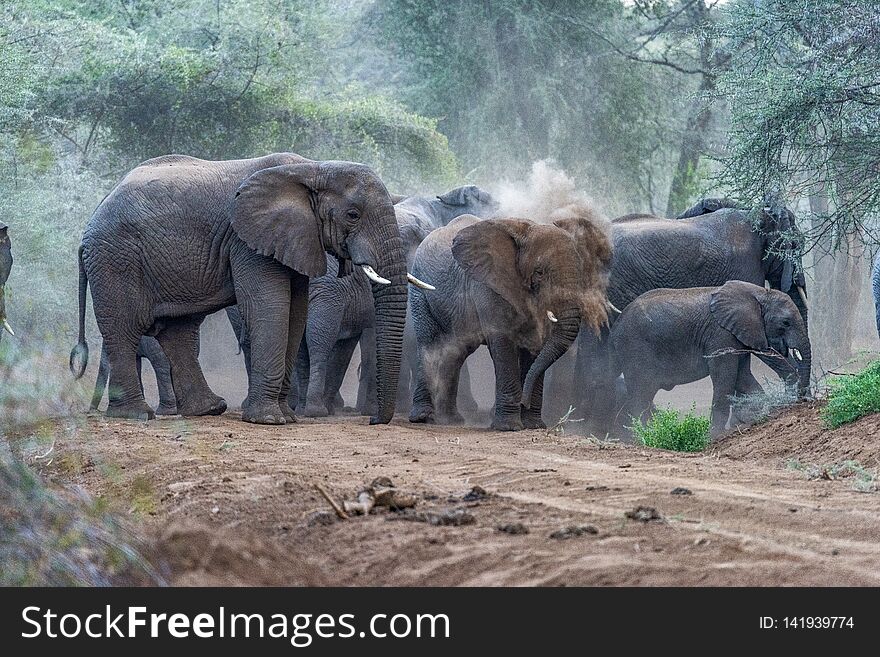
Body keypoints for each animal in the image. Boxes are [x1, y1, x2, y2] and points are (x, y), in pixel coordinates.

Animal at [70, 152, 410, 426]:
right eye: (353, 215)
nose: (373, 421)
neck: (312, 168)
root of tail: (91, 221)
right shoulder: (247, 240)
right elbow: (269, 306)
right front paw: (269, 421)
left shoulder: (292, 240)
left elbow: (296, 313)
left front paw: (286, 417)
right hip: (115, 259)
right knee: (124, 328)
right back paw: (136, 415)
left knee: (177, 331)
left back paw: (208, 410)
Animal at [410, 210, 612, 434]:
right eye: (539, 272)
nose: (524, 401)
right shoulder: (488, 286)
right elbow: (503, 343)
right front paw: (509, 427)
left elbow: (536, 346)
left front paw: (533, 426)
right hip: (420, 291)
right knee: (429, 344)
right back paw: (423, 418)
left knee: (456, 351)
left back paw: (451, 420)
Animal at [612, 278, 812, 436]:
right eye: (785, 323)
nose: (799, 400)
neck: (760, 294)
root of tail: (617, 324)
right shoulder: (720, 334)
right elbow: (724, 377)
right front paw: (714, 435)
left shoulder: (738, 334)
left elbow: (743, 376)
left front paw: (751, 417)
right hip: (634, 348)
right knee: (641, 395)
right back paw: (645, 435)